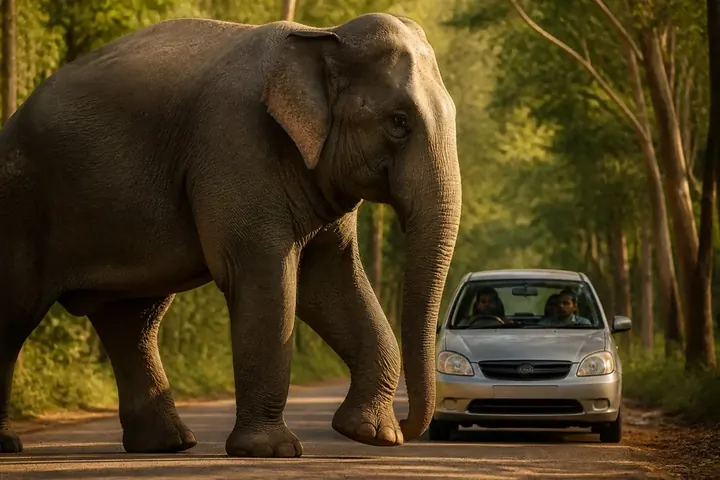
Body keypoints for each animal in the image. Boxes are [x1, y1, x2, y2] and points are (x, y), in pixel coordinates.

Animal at [0, 12, 461, 458]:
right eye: (398, 122)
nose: (408, 426)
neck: (320, 36)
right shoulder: (237, 146)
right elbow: (266, 278)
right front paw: (272, 450)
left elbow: (330, 278)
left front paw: (370, 434)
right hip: (21, 203)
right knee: (17, 311)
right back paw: (14, 444)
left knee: (132, 320)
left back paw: (168, 445)